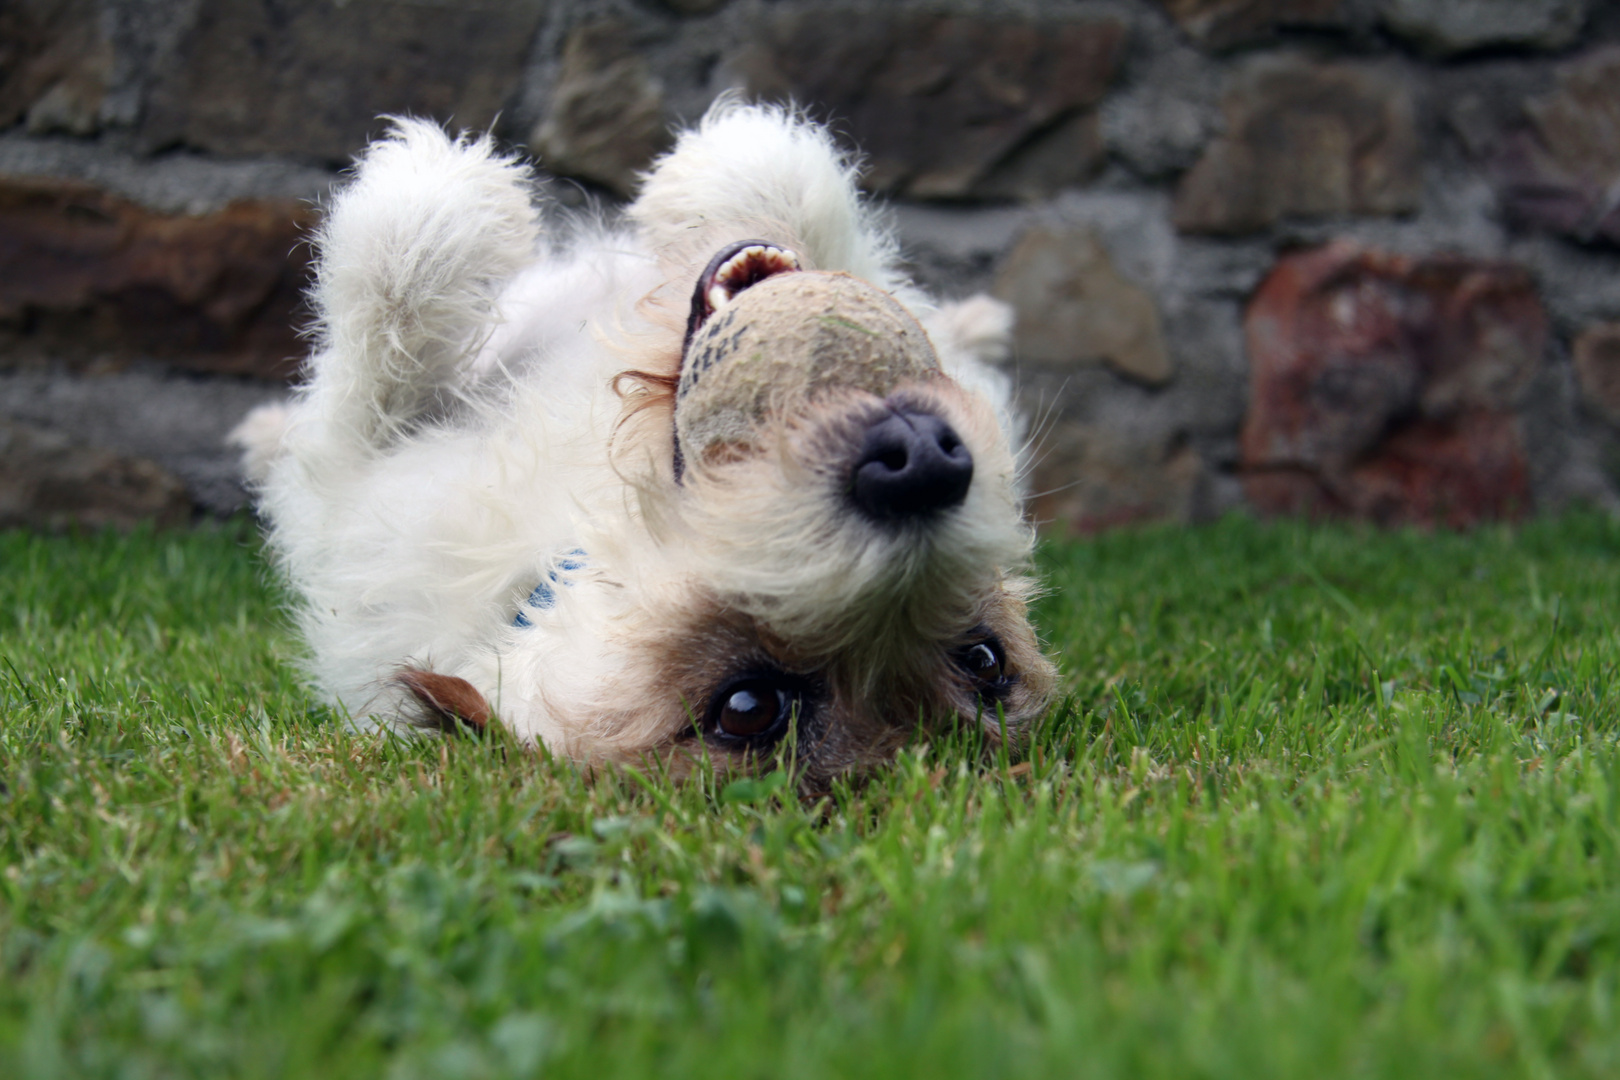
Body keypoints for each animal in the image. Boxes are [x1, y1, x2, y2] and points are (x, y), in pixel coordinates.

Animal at [231, 101, 1062, 786]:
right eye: (984, 658)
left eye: (748, 708)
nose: (918, 462)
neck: (597, 506)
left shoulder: (360, 459)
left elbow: (389, 303)